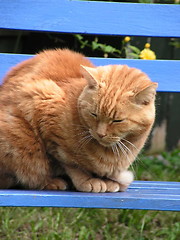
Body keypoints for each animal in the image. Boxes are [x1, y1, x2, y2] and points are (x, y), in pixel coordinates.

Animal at [0, 49, 158, 193]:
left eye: (117, 120)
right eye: (94, 114)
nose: (100, 134)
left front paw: (109, 182)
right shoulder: (45, 112)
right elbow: (72, 164)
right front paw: (87, 181)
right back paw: (52, 182)